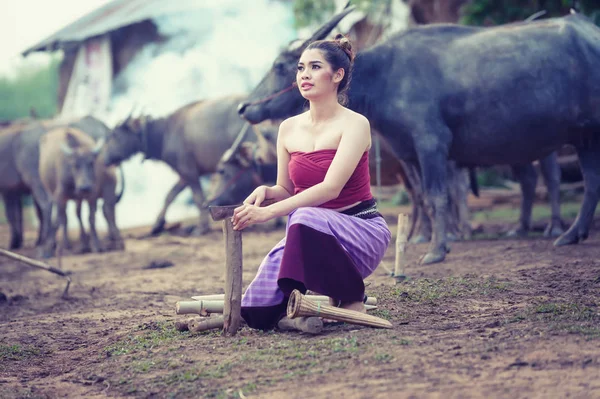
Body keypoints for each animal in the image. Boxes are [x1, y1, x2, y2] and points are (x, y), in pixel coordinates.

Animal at [237, 7, 596, 264]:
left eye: (282, 65)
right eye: (296, 66)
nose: (243, 107)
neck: (386, 75)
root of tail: (589, 31)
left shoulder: (431, 143)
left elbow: (437, 195)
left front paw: (436, 250)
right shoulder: (408, 152)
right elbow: (423, 196)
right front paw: (431, 240)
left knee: (557, 180)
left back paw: (556, 229)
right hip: (576, 138)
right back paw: (566, 233)